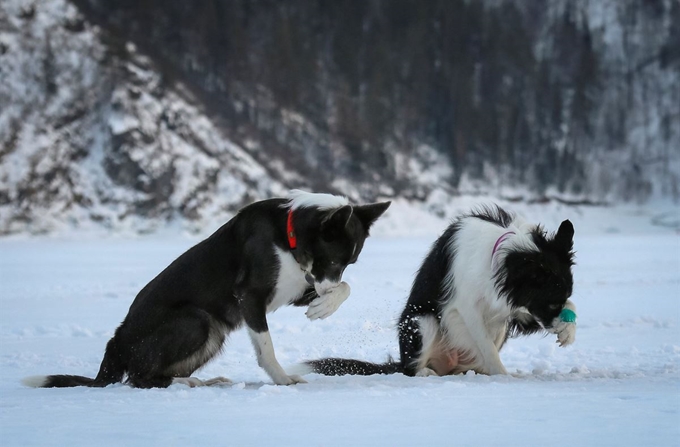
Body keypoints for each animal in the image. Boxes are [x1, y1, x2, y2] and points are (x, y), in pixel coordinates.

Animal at [306, 206, 576, 378]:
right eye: (551, 303)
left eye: (561, 299)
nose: (556, 327)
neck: (498, 254)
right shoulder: (466, 309)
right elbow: (485, 345)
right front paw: (504, 376)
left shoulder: (512, 307)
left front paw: (568, 330)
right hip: (421, 321)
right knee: (411, 369)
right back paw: (426, 371)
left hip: (497, 331)